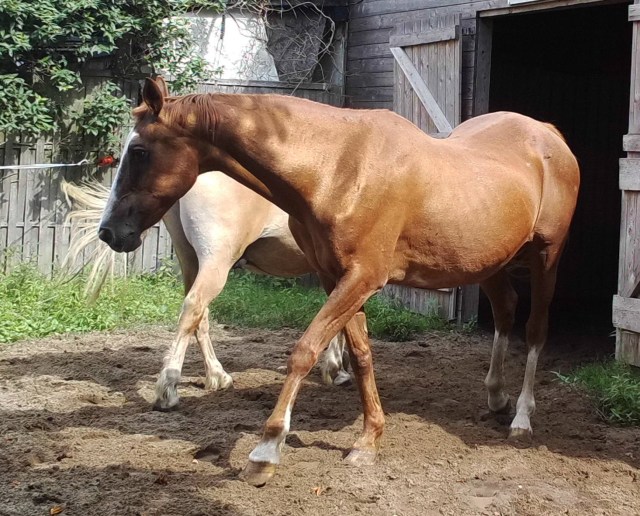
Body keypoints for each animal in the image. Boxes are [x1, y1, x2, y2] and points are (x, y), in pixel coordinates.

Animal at [63, 173, 350, 412]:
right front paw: (336, 368)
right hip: (216, 260)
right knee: (194, 307)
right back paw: (169, 391)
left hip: (190, 259)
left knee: (199, 316)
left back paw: (217, 376)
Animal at [98, 77, 580, 486]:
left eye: (138, 151)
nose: (109, 232)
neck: (337, 168)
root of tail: (547, 133)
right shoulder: (338, 279)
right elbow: (361, 354)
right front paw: (368, 439)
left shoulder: (363, 278)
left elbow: (305, 350)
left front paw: (266, 450)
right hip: (490, 262)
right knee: (505, 311)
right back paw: (496, 397)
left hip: (546, 257)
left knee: (534, 329)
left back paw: (521, 418)